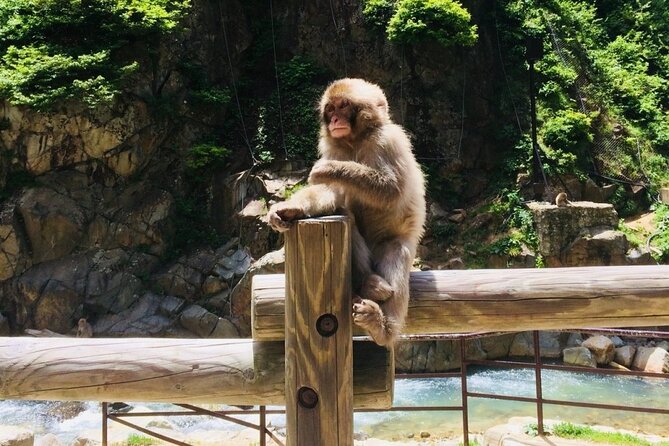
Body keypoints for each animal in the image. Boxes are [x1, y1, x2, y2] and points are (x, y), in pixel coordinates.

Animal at [267, 78, 426, 346]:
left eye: (343, 106)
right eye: (330, 109)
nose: (334, 120)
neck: (356, 140)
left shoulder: (389, 140)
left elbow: (392, 189)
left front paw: (331, 169)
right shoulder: (334, 147)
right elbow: (331, 193)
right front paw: (289, 209)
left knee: (395, 249)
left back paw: (382, 327)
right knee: (347, 219)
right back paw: (368, 283)